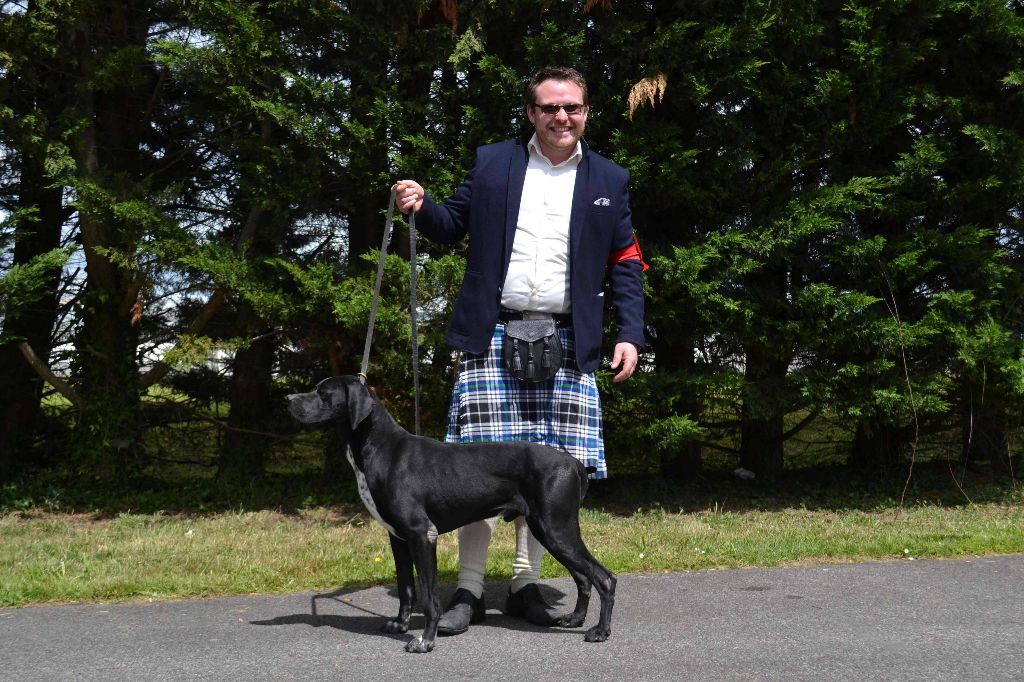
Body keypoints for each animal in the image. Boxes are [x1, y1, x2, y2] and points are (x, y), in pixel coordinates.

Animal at [286, 374, 614, 651]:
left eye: (323, 393)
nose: (288, 399)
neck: (379, 447)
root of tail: (575, 464)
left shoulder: (422, 534)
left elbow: (430, 596)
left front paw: (425, 641)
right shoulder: (399, 538)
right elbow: (406, 589)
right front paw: (400, 625)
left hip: (555, 529)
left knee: (604, 578)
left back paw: (600, 631)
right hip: (550, 530)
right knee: (584, 578)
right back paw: (574, 619)